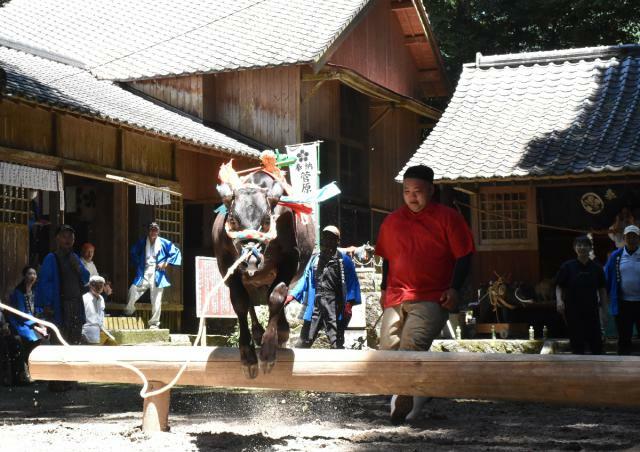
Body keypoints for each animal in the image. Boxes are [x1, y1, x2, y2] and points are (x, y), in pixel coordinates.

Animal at [212, 171, 316, 376]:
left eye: (267, 220)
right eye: (233, 220)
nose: (251, 260)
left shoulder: (290, 259)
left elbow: (277, 296)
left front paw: (268, 351)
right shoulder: (226, 264)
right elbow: (240, 303)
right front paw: (247, 355)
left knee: (274, 297)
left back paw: (281, 331)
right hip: (249, 279)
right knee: (251, 301)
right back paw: (258, 332)